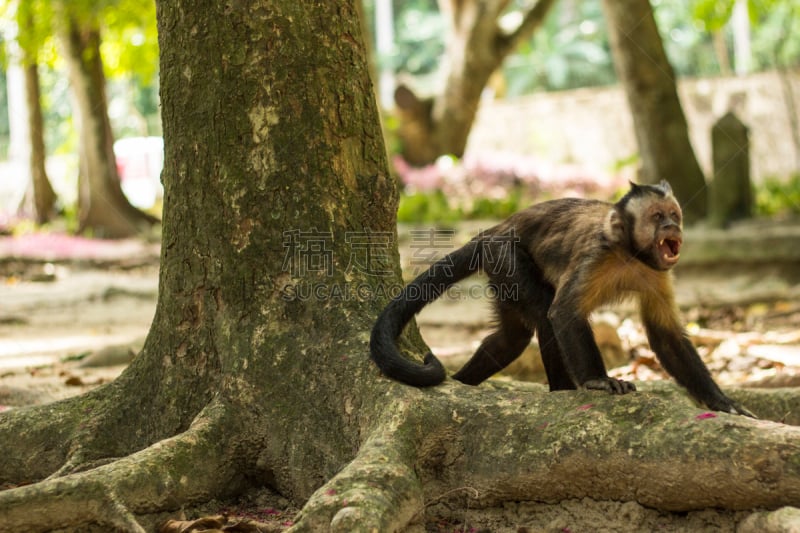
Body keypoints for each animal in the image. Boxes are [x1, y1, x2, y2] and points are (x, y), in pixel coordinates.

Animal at [372, 181, 752, 418]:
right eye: (658, 217)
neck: (630, 253)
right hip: (504, 254)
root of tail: (494, 229)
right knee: (543, 314)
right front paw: (599, 381)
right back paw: (563, 392)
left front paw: (721, 401)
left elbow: (665, 336)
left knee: (511, 338)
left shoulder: (658, 272)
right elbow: (564, 312)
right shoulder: (596, 255)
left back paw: (462, 382)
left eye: (674, 214)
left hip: (500, 270)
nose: (673, 227)